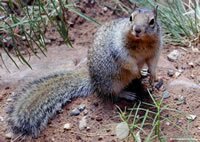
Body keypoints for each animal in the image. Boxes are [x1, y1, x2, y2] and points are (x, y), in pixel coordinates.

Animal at [5, 7, 162, 139]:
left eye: (152, 21)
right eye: (130, 18)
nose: (137, 30)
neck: (141, 41)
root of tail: (93, 81)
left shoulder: (155, 51)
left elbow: (153, 63)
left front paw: (153, 76)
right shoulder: (119, 49)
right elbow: (128, 62)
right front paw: (136, 72)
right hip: (113, 82)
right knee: (112, 93)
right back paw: (127, 93)